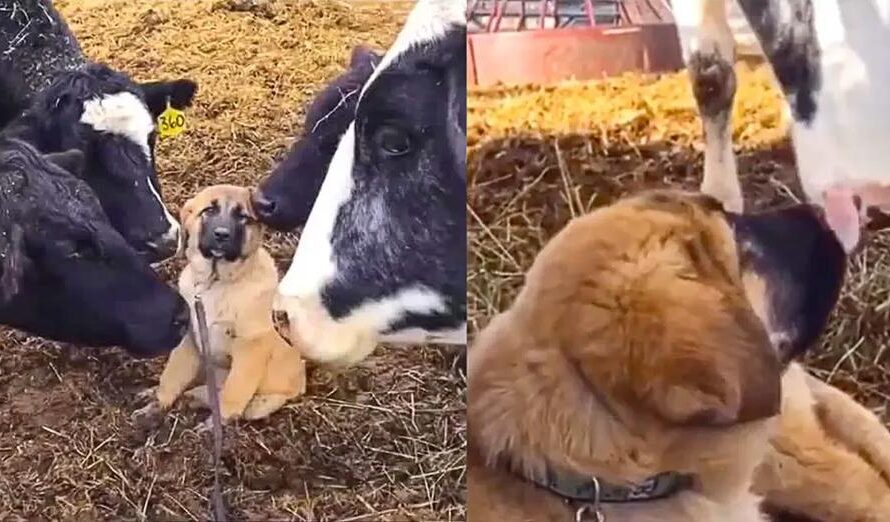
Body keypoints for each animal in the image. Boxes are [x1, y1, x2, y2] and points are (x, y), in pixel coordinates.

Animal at [153, 185, 306, 420]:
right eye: (209, 210)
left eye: (243, 217)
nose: (222, 235)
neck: (216, 282)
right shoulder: (189, 337)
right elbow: (173, 372)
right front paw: (157, 403)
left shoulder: (250, 345)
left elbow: (235, 389)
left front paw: (219, 421)